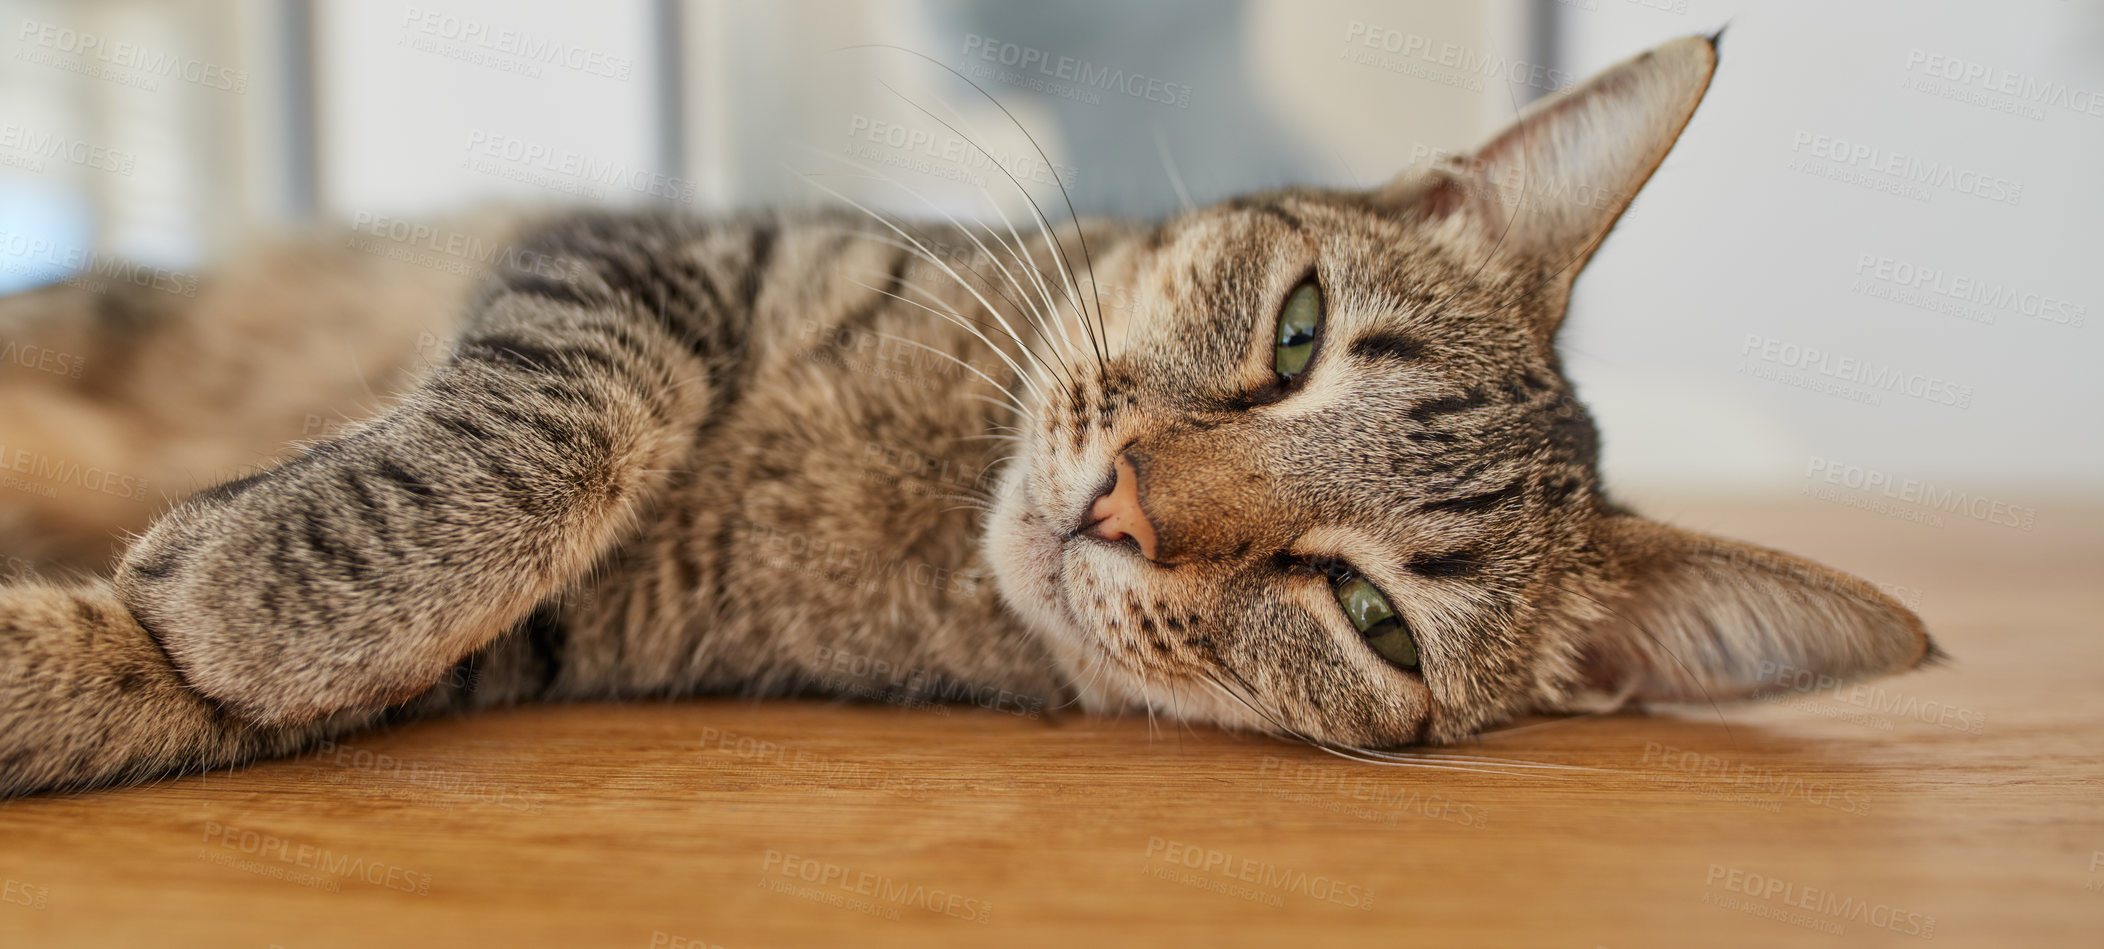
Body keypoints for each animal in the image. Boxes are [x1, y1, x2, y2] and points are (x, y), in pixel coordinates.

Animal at [0, 33, 1935, 799]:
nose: (1125, 503)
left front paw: (194, 617)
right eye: (1298, 330)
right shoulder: (639, 256)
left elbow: (132, 679)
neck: (929, 488)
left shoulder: (557, 634)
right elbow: (555, 424)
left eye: (1370, 615)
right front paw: (277, 586)